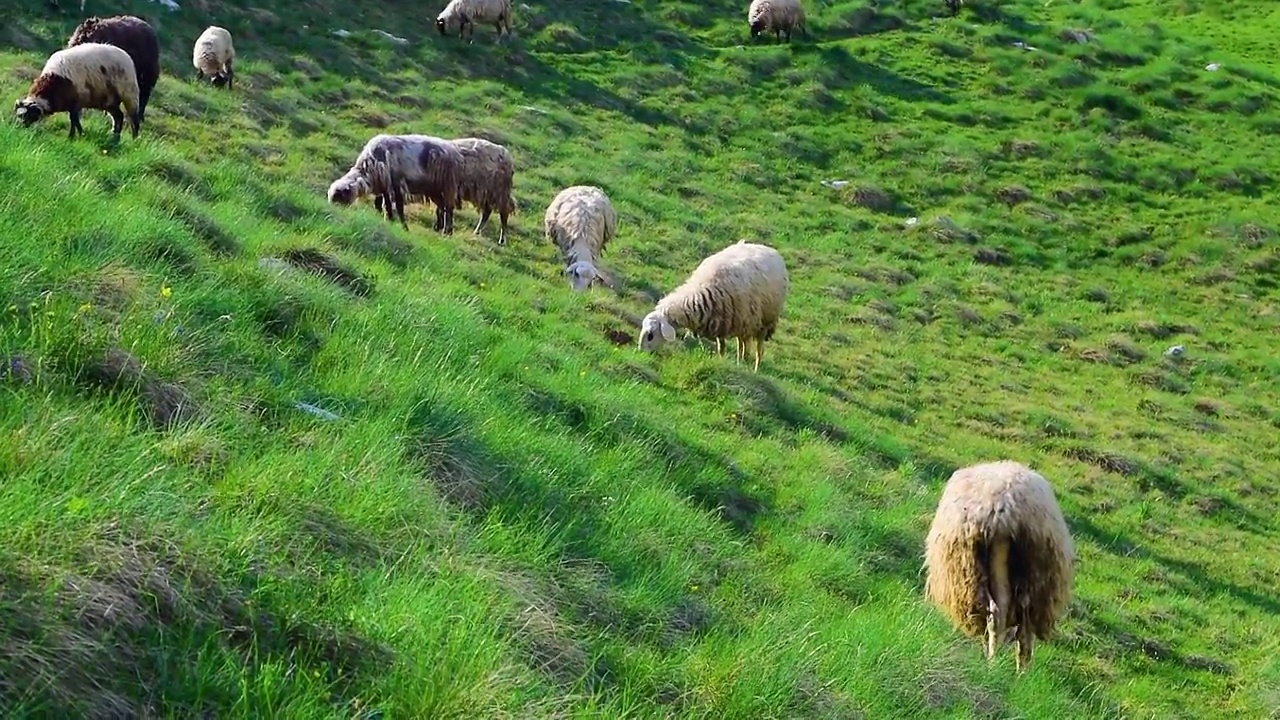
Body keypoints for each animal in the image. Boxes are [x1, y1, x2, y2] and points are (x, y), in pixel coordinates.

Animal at [640, 239, 788, 368]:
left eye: (650, 336)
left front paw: (744, 366)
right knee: (741, 344)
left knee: (758, 348)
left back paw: (755, 368)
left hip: (764, 321)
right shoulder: (721, 322)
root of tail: (770, 249)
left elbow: (746, 350)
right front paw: (721, 361)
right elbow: (721, 347)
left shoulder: (745, 321)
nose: (640, 353)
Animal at [926, 456, 1075, 671]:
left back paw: (999, 664)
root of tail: (1001, 508)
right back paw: (1017, 668)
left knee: (1001, 615)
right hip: (1029, 568)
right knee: (1018, 620)